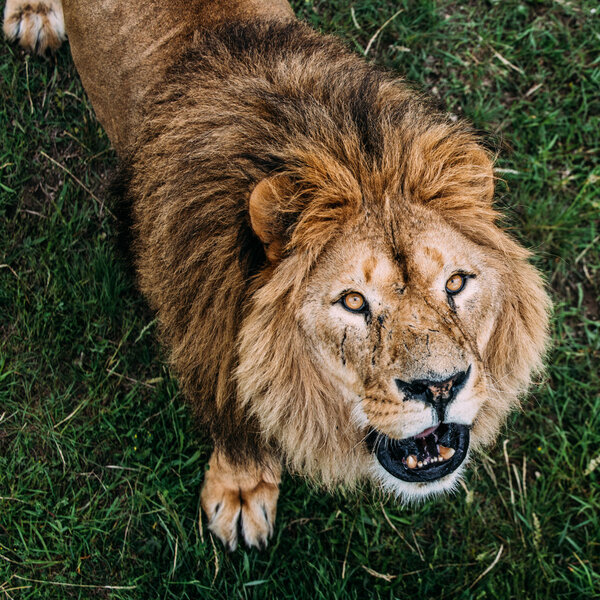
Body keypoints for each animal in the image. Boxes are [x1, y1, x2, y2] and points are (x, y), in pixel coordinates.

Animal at [4, 0, 548, 552]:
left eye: (456, 283)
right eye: (353, 301)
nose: (440, 388)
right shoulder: (208, 345)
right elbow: (236, 428)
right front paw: (241, 491)